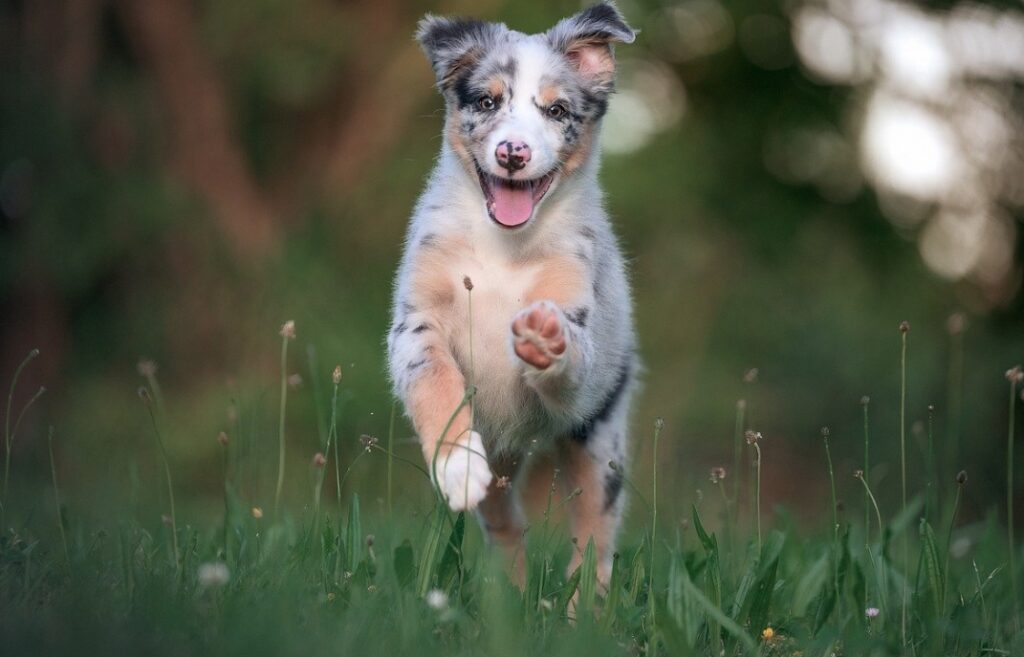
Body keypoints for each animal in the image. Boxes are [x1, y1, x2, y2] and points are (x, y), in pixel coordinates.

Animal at [385, 2, 634, 581]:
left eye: (557, 110)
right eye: (487, 102)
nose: (513, 152)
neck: (502, 247)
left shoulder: (578, 307)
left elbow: (570, 353)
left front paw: (546, 339)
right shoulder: (415, 321)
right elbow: (433, 379)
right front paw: (455, 464)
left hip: (600, 440)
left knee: (594, 540)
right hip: (498, 456)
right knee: (505, 522)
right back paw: (508, 587)